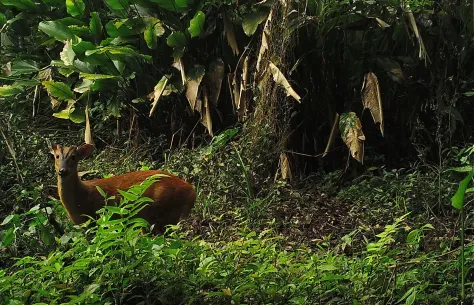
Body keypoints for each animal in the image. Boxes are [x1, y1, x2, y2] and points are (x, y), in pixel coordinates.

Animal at [50, 142, 194, 233]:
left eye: (74, 157)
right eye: (57, 156)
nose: (62, 170)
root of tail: (191, 189)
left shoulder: (95, 218)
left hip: (158, 211)